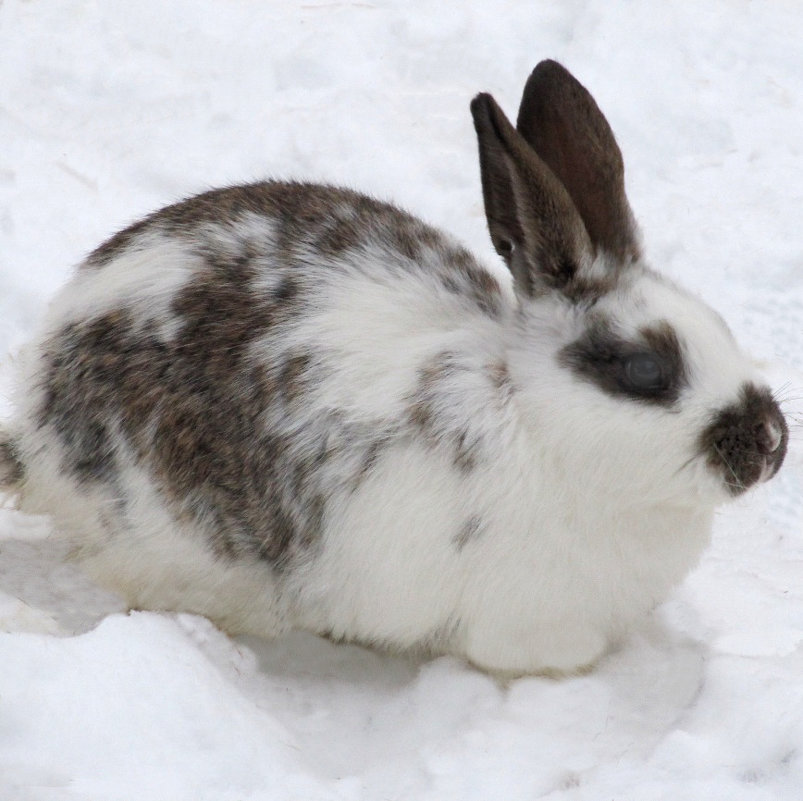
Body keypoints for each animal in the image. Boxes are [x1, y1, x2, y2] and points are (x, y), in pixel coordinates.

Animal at [0, 62, 792, 676]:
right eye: (645, 370)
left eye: (722, 328)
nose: (770, 441)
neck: (534, 420)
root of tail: (36, 420)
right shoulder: (524, 623)